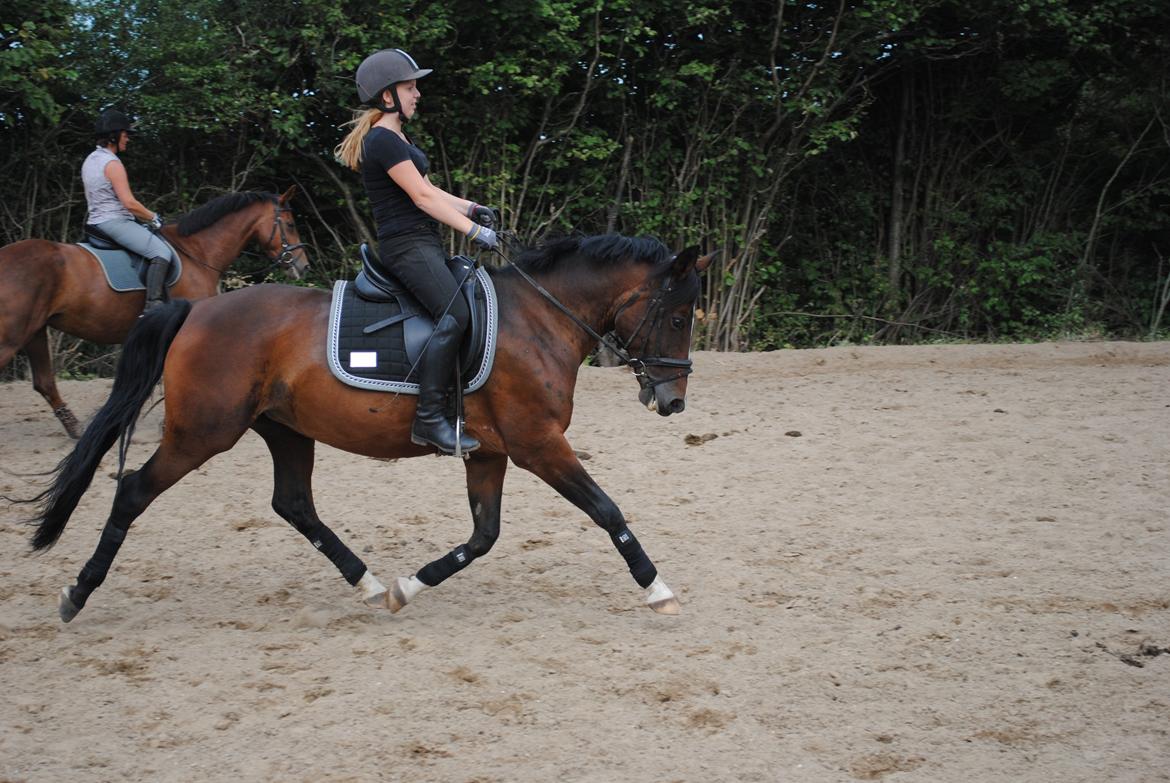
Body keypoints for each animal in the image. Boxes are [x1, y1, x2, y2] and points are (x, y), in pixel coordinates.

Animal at [0, 186, 308, 437]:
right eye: (290, 224)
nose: (303, 266)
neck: (197, 251)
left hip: (34, 331)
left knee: (44, 382)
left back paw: (75, 428)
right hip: (13, 337)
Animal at [25, 235, 711, 617]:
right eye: (679, 317)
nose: (673, 400)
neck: (540, 318)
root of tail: (194, 309)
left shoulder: (489, 452)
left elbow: (483, 536)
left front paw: (408, 586)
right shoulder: (538, 443)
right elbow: (606, 509)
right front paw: (657, 588)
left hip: (284, 430)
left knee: (294, 504)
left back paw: (369, 583)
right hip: (201, 433)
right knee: (132, 491)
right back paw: (77, 594)